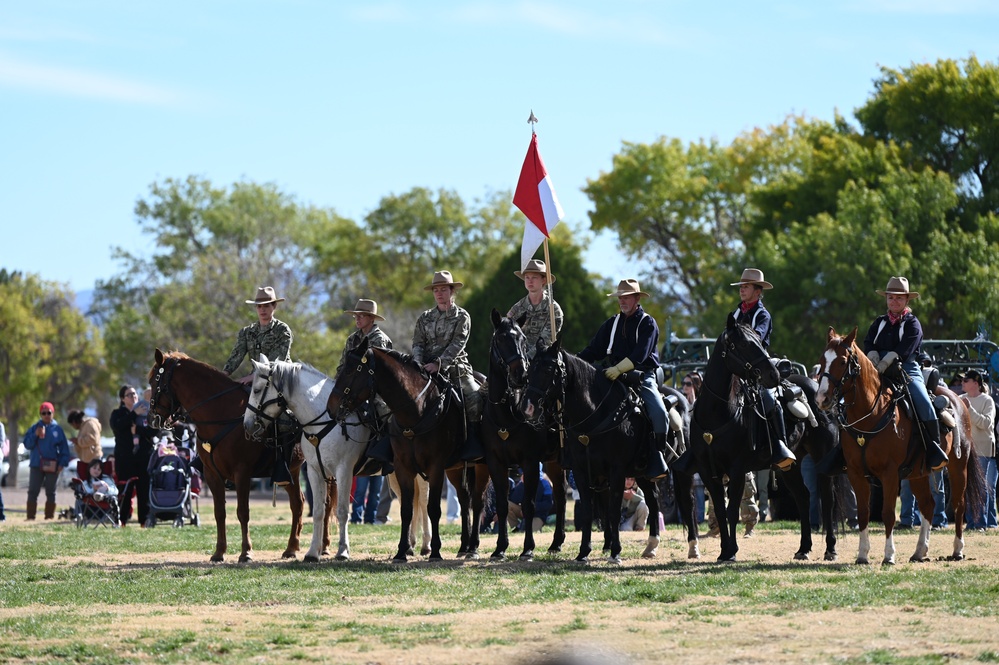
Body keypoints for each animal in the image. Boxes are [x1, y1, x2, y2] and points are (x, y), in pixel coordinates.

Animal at [148, 350, 322, 564]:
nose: (151, 419)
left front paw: (246, 552)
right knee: (298, 503)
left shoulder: (242, 472)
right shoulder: (212, 474)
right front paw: (219, 552)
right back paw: (291, 548)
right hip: (291, 473)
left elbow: (242, 512)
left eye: (154, 381)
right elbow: (219, 513)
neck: (221, 414)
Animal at [328, 338, 468, 560]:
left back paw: (468, 547)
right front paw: (402, 550)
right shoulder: (403, 468)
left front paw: (436, 550)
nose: (331, 407)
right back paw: (463, 546)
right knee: (464, 498)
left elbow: (433, 508)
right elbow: (406, 510)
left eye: (350, 370)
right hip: (452, 469)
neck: (417, 412)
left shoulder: (436, 468)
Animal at [486, 308, 572, 556]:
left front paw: (528, 548)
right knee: (560, 496)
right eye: (501, 339)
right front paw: (500, 548)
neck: (507, 413)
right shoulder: (496, 463)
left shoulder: (530, 462)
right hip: (554, 462)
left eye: (523, 339)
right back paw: (556, 542)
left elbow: (528, 504)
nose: (520, 374)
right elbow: (502, 505)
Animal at [516, 340, 664, 564]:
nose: (527, 408)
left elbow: (614, 511)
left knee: (653, 500)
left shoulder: (617, 471)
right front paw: (584, 551)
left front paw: (616, 552)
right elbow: (588, 510)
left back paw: (653, 545)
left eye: (549, 369)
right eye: (530, 369)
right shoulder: (581, 471)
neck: (595, 415)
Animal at [816, 326, 988, 560]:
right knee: (928, 505)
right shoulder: (856, 473)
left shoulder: (889, 473)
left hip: (958, 466)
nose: (821, 399)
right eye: (822, 360)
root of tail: (959, 400)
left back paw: (958, 549)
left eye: (842, 361)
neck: (872, 413)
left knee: (959, 505)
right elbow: (863, 513)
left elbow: (888, 513)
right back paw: (920, 551)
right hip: (918, 473)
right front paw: (862, 555)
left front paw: (889, 555)